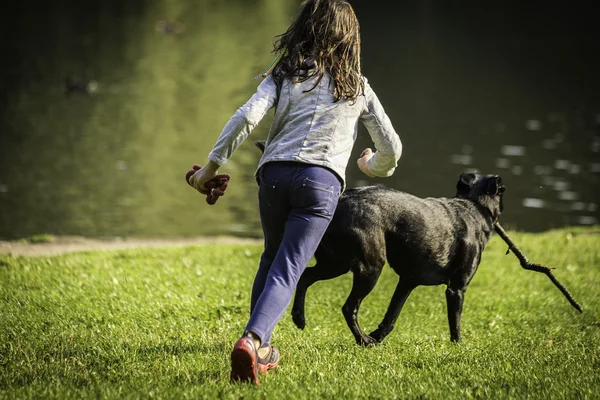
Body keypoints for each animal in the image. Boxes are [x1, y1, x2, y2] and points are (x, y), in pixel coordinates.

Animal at [254, 142, 506, 346]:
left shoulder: (407, 282)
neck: (473, 205)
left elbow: (391, 316)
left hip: (336, 263)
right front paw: (458, 346)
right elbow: (455, 323)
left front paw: (379, 335)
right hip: (369, 267)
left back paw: (300, 318)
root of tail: (342, 198)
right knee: (348, 307)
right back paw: (362, 340)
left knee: (305, 276)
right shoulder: (456, 288)